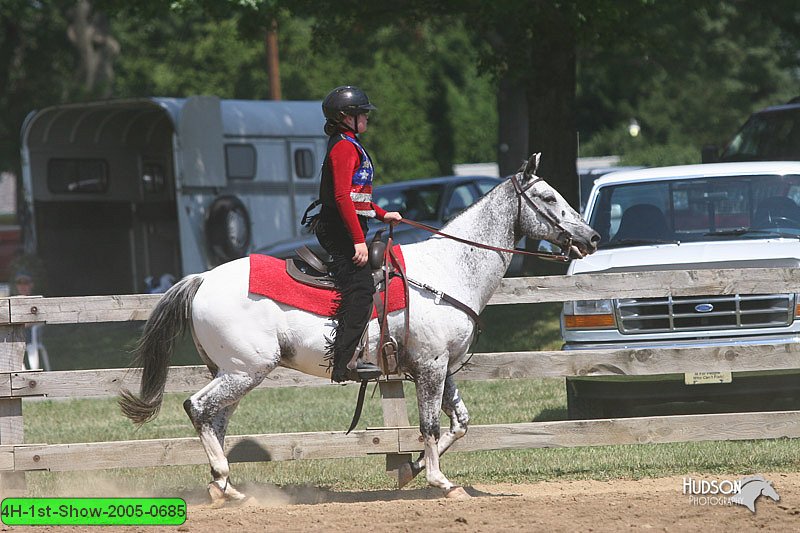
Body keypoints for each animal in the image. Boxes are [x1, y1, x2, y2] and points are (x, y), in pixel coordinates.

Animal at [117, 153, 592, 502]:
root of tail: (201, 279)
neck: (448, 271)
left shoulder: (440, 367)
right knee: (197, 408)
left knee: (214, 420)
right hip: (244, 369)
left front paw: (414, 469)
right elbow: (430, 426)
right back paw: (223, 483)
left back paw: (225, 487)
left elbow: (459, 423)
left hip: (231, 373)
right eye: (548, 197)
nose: (591, 238)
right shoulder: (431, 367)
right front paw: (440, 482)